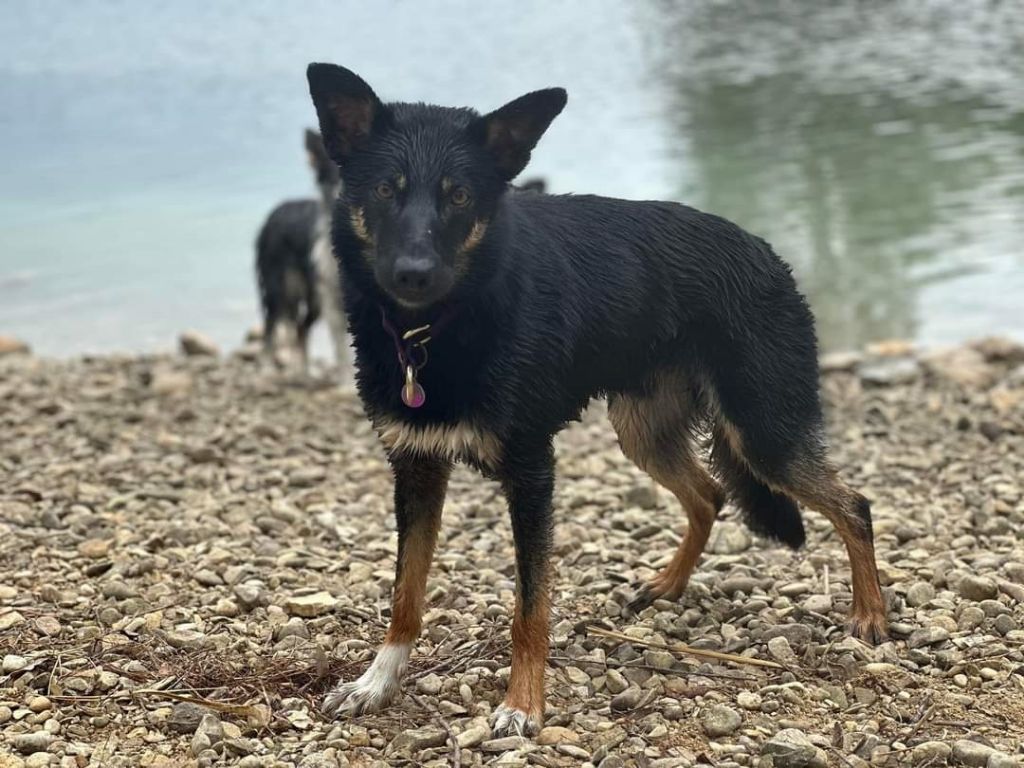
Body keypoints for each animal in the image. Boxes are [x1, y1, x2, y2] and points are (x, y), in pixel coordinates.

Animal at [305, 63, 888, 737]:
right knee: (709, 495)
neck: (436, 329)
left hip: (762, 429)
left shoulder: (532, 472)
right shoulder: (416, 470)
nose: (413, 274)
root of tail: (767, 254)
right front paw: (378, 680)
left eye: (459, 197)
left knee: (853, 505)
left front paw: (522, 704)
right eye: (383, 190)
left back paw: (871, 614)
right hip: (642, 429)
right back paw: (668, 585)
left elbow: (530, 606)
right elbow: (406, 591)